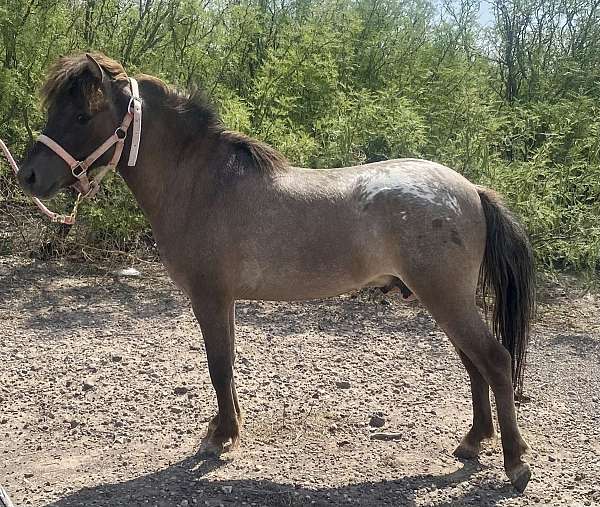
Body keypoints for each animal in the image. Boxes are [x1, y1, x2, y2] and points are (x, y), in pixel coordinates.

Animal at [17, 51, 536, 492]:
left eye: (82, 116)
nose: (28, 176)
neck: (201, 185)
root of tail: (469, 189)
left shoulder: (209, 297)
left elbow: (218, 365)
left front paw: (219, 438)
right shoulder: (223, 300)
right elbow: (226, 366)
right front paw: (225, 429)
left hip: (446, 298)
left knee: (494, 360)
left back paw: (515, 464)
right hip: (443, 301)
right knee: (474, 364)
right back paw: (473, 443)